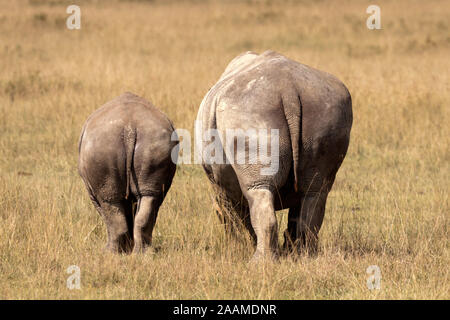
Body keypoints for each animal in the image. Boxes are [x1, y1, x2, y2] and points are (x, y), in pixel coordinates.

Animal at [78, 92, 177, 255]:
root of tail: (129, 128)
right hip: (151, 142)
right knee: (149, 197)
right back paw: (143, 253)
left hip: (102, 146)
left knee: (110, 202)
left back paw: (109, 252)